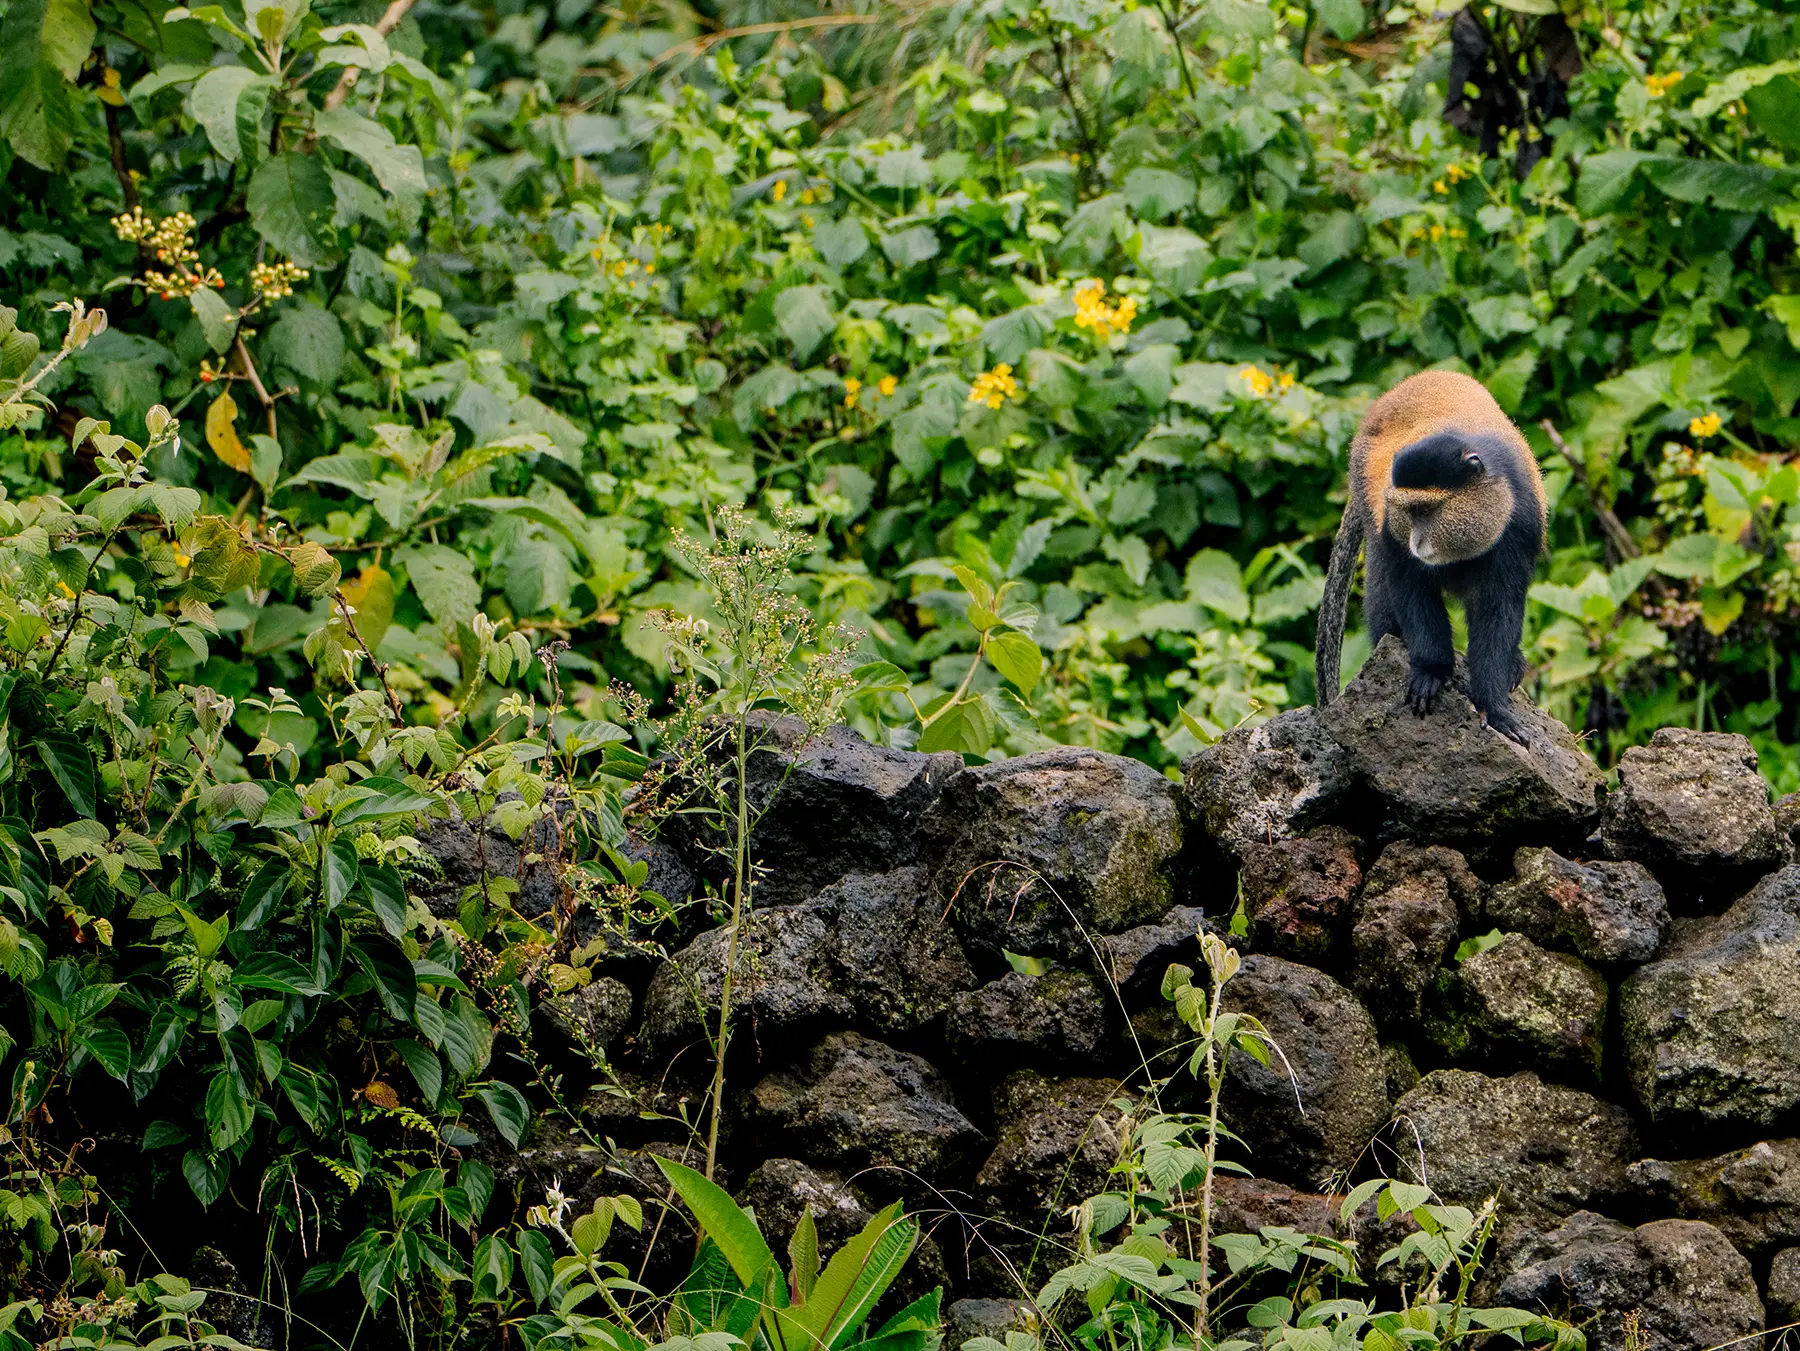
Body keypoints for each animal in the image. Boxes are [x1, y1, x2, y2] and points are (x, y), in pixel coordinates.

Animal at [1314, 369, 1545, 745]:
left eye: (1427, 511)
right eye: (1409, 512)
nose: (1416, 542)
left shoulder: (1519, 527)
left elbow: (1499, 607)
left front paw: (1495, 708)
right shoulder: (1391, 525)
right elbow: (1409, 586)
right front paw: (1431, 670)